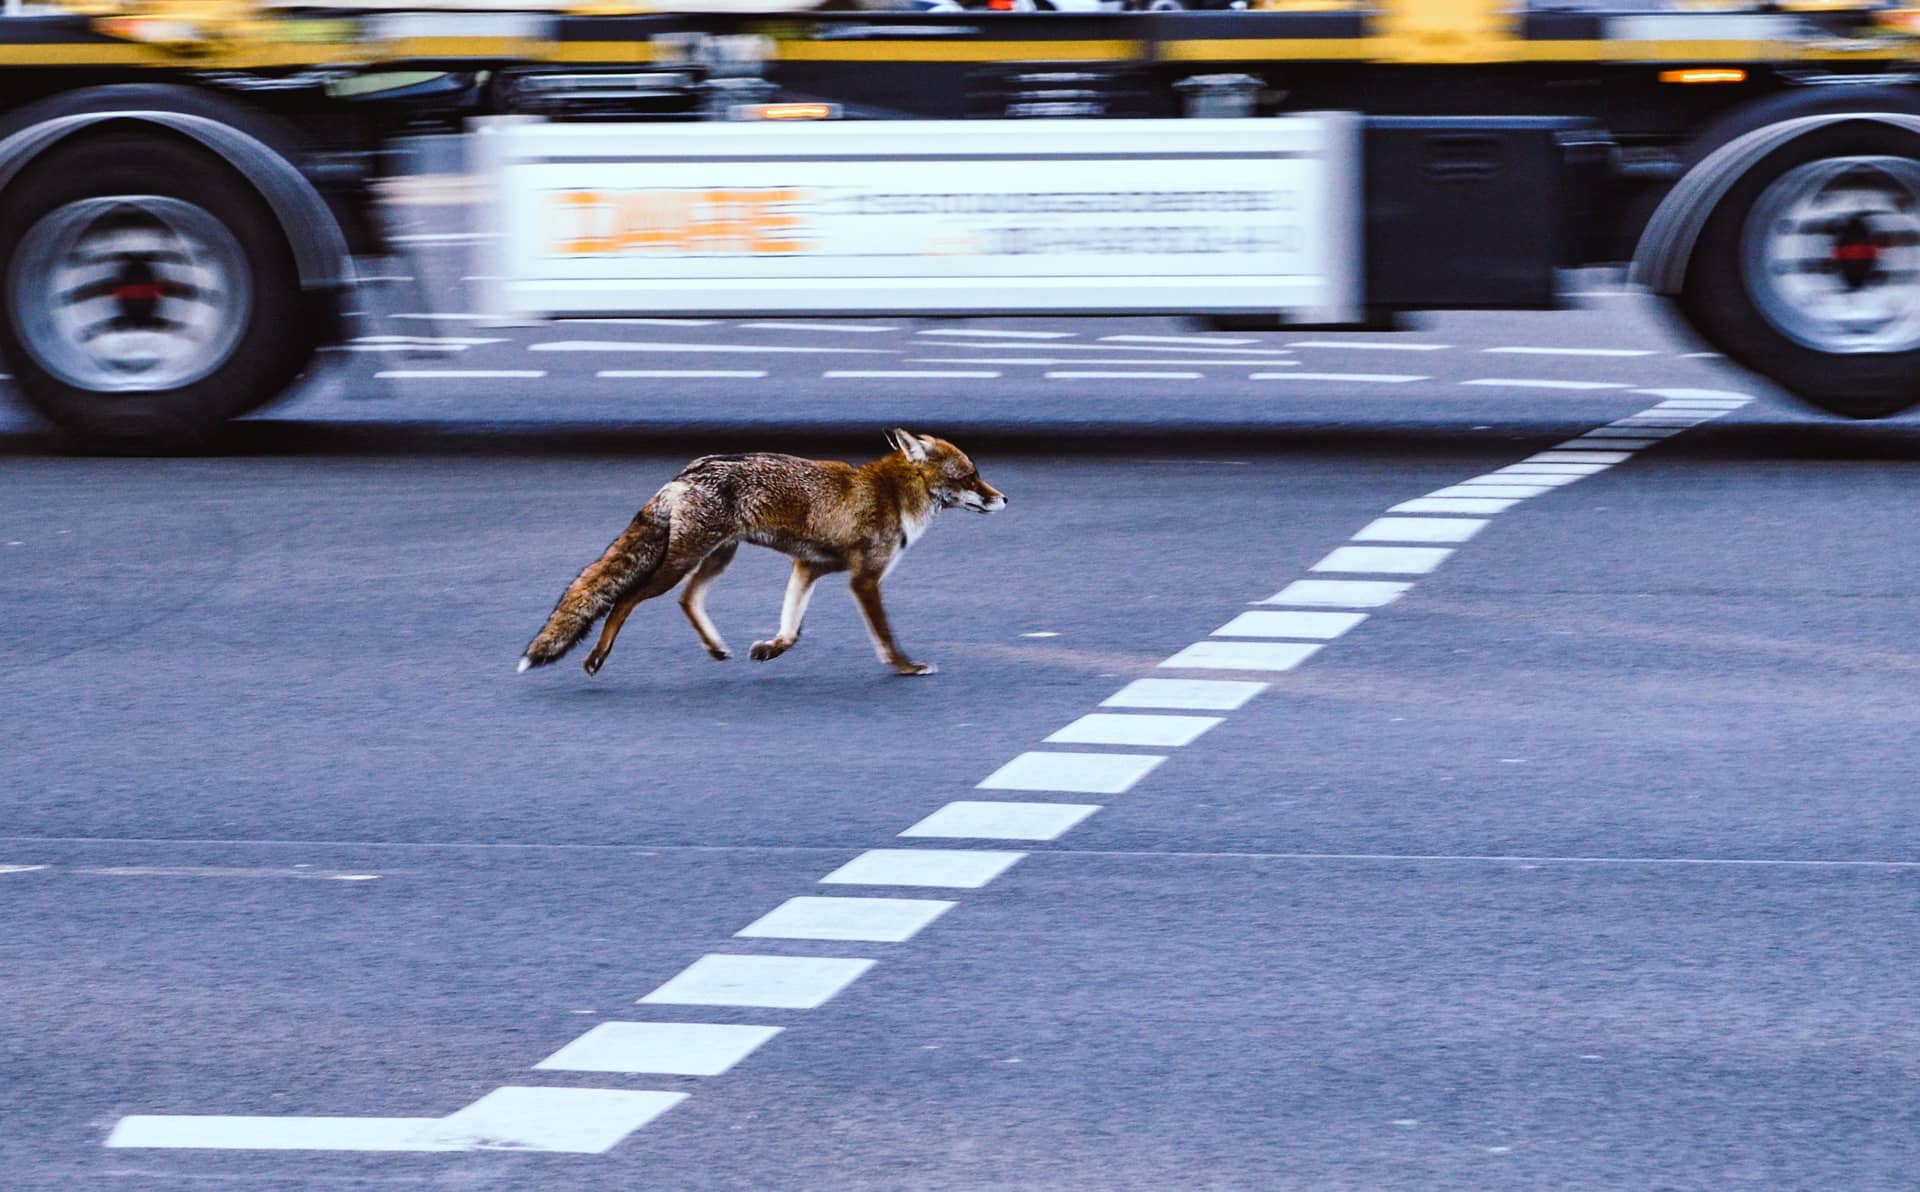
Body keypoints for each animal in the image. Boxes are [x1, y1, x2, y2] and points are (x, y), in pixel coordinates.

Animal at [518, 429, 1013, 679]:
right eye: (970, 476)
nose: (1005, 499)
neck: (892, 495)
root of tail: (685, 472)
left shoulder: (808, 567)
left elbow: (792, 630)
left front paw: (771, 649)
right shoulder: (863, 579)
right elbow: (886, 636)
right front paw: (906, 667)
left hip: (717, 558)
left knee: (687, 599)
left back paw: (716, 648)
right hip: (679, 564)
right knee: (624, 600)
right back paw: (597, 658)